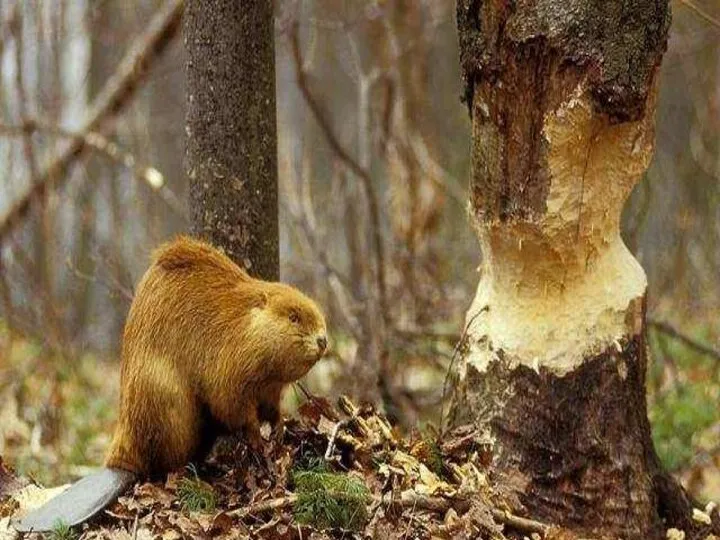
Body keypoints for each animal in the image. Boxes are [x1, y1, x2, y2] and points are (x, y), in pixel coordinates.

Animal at [14, 237, 326, 532]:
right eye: (293, 316)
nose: (323, 340)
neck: (243, 323)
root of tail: (118, 465)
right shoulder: (229, 365)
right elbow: (232, 407)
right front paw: (259, 443)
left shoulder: (270, 387)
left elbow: (271, 410)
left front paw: (280, 429)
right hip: (166, 400)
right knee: (166, 463)